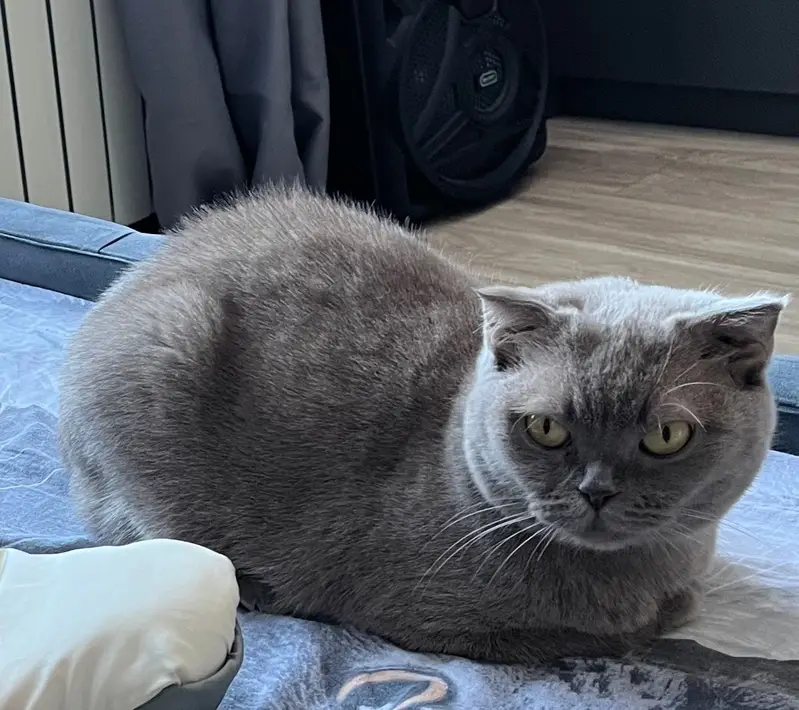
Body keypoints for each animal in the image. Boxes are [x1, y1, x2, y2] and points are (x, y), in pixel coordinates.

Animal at [58, 185, 787, 663]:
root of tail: (141, 272)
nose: (596, 491)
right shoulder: (438, 623)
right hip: (162, 349)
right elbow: (607, 636)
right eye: (546, 429)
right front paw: (652, 617)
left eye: (666, 436)